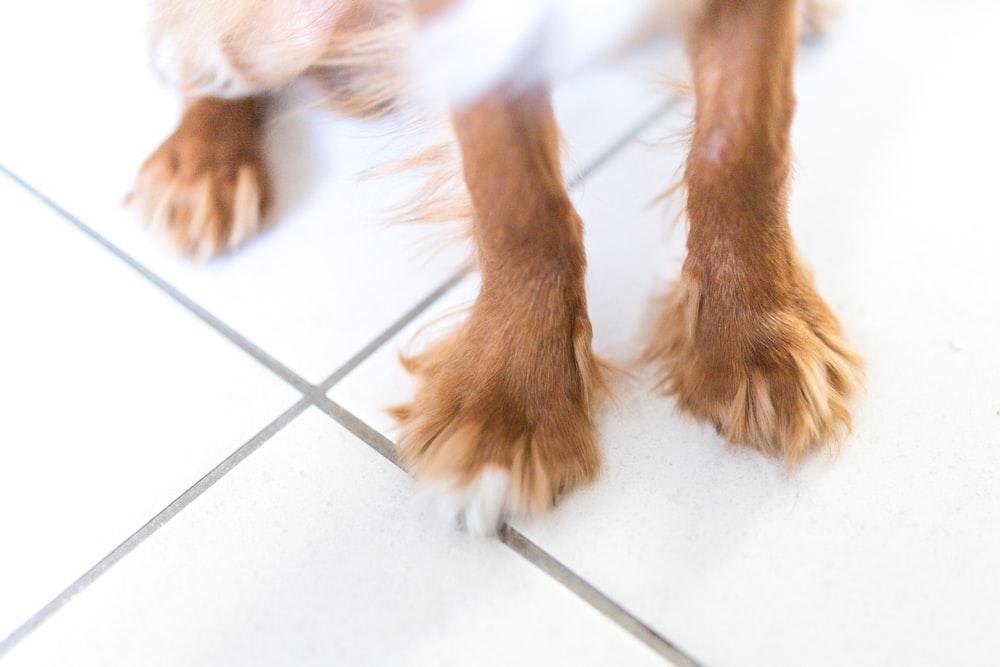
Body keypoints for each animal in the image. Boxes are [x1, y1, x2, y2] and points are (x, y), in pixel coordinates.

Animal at [131, 0, 868, 532]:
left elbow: (743, 143)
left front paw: (754, 331)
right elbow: (517, 199)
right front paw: (510, 400)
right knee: (199, 48)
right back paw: (202, 162)